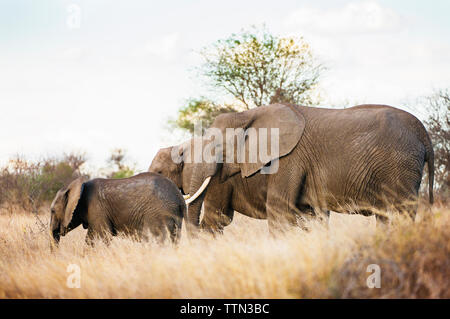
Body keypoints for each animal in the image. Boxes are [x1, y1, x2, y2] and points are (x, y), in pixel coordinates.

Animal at [48, 174, 184, 246]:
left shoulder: (97, 209)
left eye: (52, 211)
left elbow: (104, 236)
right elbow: (90, 239)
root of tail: (179, 197)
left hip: (157, 214)